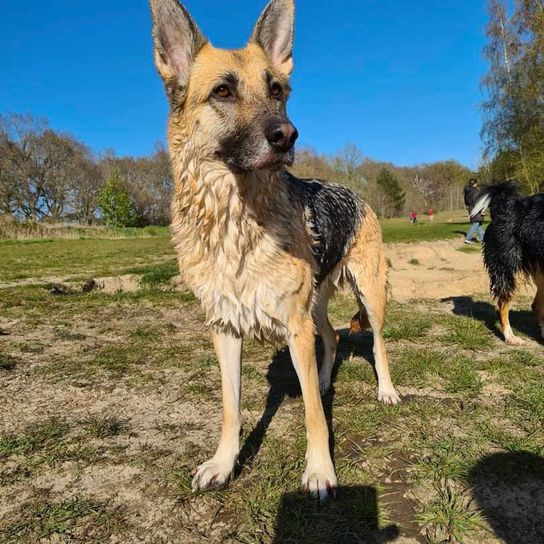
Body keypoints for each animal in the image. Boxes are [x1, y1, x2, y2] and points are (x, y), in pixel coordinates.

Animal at [149, 0, 400, 502]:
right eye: (222, 91)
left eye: (277, 90)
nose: (288, 135)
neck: (237, 220)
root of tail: (357, 194)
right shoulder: (225, 329)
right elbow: (231, 409)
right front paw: (224, 464)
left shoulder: (294, 326)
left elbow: (314, 416)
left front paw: (320, 470)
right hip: (316, 305)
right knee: (333, 337)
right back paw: (322, 380)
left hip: (367, 294)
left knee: (378, 343)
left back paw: (384, 390)